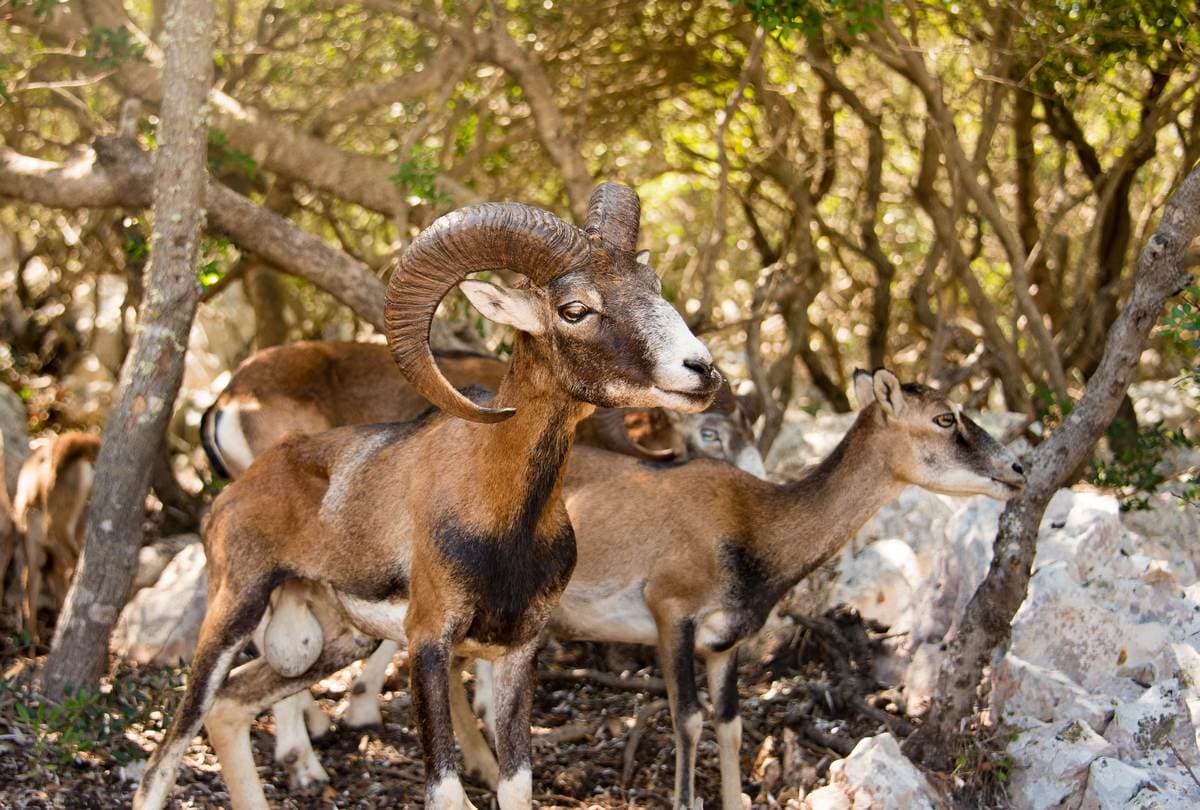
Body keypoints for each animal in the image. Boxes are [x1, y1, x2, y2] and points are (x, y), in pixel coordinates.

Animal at [134, 183, 721, 810]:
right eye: (575, 309)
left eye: (652, 286)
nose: (701, 370)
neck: (504, 522)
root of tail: (231, 495)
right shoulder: (430, 645)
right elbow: (446, 788)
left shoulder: (518, 651)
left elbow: (515, 783)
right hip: (233, 612)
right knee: (171, 747)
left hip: (337, 641)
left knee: (230, 708)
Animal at [455, 368, 1024, 808]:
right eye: (945, 418)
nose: (1017, 469)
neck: (754, 525)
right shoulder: (672, 612)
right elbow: (688, 718)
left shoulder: (724, 642)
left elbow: (729, 723)